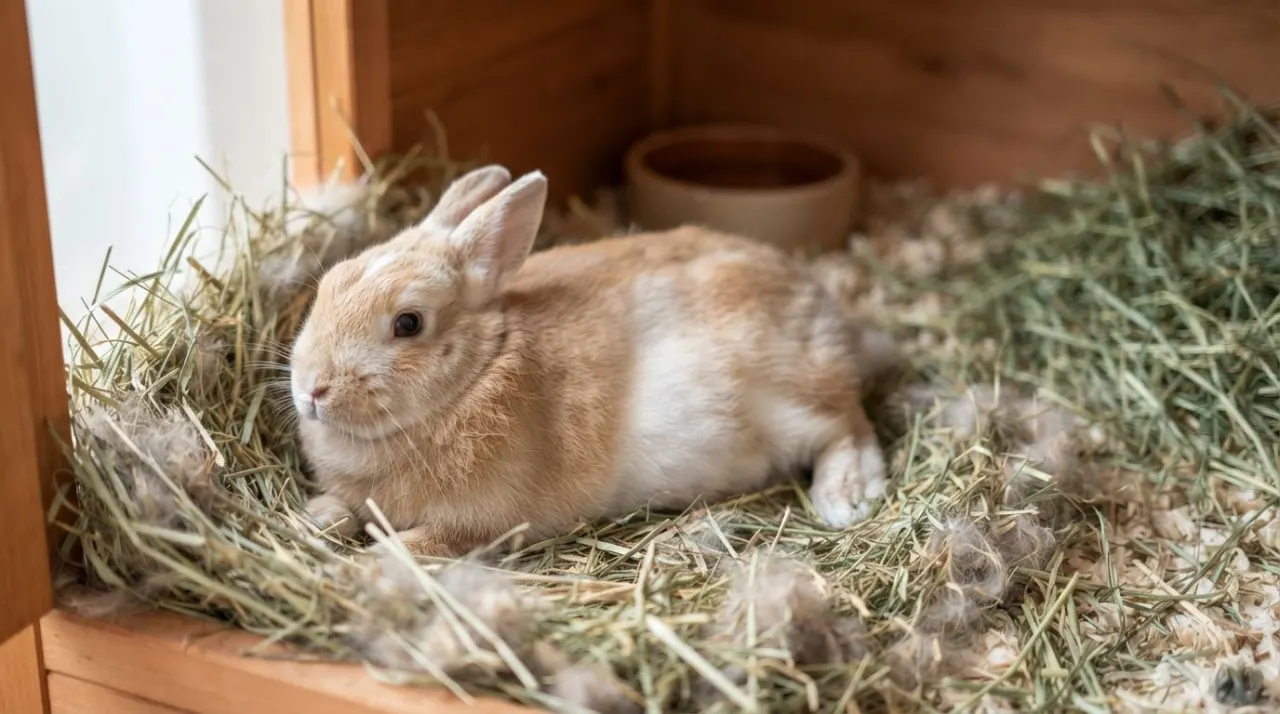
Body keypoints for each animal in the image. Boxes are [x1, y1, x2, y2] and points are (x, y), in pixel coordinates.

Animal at [290, 164, 900, 558]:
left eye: (408, 323)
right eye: (331, 283)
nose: (311, 389)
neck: (476, 375)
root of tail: (821, 305)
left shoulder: (480, 523)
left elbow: (420, 544)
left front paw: (369, 560)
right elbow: (340, 510)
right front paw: (313, 519)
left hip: (793, 398)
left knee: (850, 428)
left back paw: (845, 499)